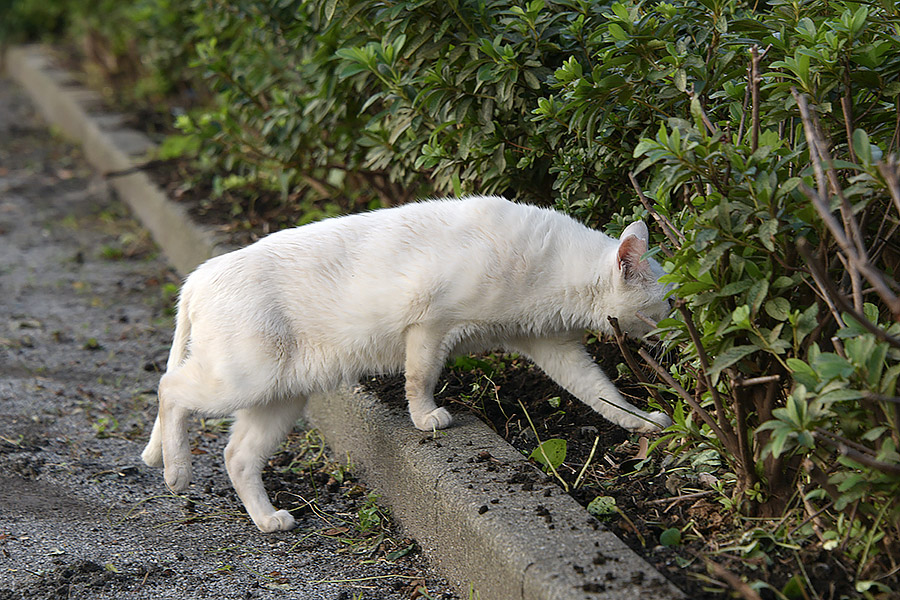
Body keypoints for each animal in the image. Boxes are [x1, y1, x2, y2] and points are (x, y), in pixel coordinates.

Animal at [141, 196, 672, 528]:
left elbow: (601, 393)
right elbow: (419, 377)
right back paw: (175, 471)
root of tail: (198, 276)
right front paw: (425, 418)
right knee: (171, 389)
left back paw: (269, 521)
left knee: (237, 455)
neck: (552, 269)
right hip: (244, 377)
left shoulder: (554, 347)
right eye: (665, 303)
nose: (679, 322)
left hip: (280, 396)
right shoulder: (430, 325)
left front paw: (644, 422)